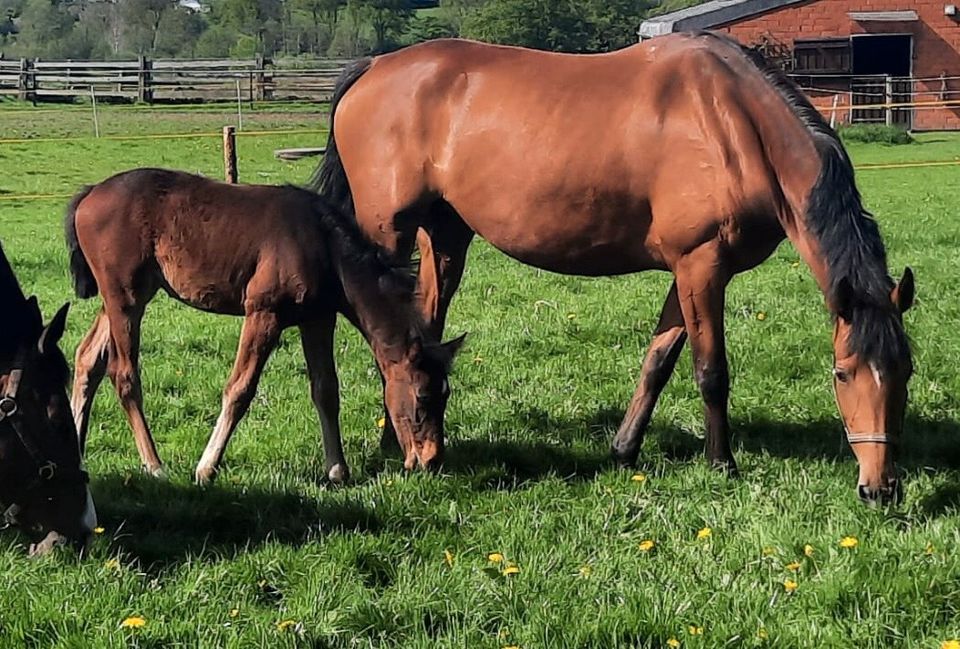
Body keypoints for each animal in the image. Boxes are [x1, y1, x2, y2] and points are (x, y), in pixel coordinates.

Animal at [63, 170, 462, 484]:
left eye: (446, 395)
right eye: (423, 395)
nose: (431, 460)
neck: (324, 246)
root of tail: (89, 194)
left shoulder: (317, 318)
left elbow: (326, 389)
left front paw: (337, 470)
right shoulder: (264, 312)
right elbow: (240, 388)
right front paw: (206, 468)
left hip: (129, 297)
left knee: (87, 358)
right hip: (125, 299)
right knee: (123, 373)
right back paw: (154, 464)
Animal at [314, 33, 916, 504]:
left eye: (905, 371)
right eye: (842, 373)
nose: (880, 487)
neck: (733, 123)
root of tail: (375, 67)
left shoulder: (686, 272)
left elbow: (658, 361)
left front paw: (624, 448)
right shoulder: (701, 265)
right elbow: (711, 372)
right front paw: (722, 463)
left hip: (444, 238)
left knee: (424, 334)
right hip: (388, 236)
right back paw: (392, 444)